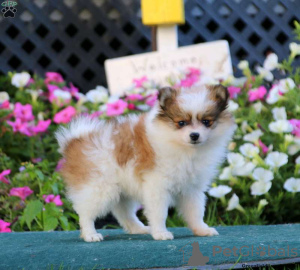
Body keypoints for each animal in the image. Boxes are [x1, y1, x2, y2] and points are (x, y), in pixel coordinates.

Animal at [55, 84, 236, 243]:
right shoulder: (157, 186)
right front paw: (161, 233)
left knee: (123, 212)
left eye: (206, 122)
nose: (194, 135)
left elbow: (196, 211)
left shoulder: (192, 188)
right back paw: (90, 235)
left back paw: (139, 229)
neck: (184, 148)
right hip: (98, 188)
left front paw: (202, 230)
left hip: (121, 191)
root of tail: (75, 142)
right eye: (181, 123)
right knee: (85, 213)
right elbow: (159, 212)